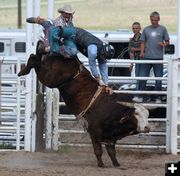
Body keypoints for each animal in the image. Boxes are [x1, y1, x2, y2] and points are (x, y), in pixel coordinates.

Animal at [17, 49, 150, 168]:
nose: (147, 128)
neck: (115, 111)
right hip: (49, 78)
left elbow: (112, 152)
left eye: (147, 115)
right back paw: (25, 68)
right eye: (136, 114)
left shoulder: (110, 137)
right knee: (35, 60)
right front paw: (101, 165)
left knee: (38, 57)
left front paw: (117, 164)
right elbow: (98, 150)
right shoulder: (94, 132)